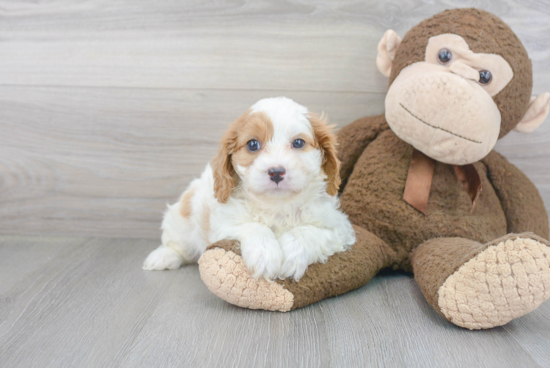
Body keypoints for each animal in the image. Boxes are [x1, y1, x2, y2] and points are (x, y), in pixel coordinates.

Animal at [143, 96, 358, 280]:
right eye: (253, 144)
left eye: (298, 142)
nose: (276, 172)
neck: (277, 205)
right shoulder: (224, 224)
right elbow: (253, 226)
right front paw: (264, 254)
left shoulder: (339, 227)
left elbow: (307, 231)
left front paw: (293, 254)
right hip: (182, 220)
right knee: (177, 244)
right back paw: (162, 257)